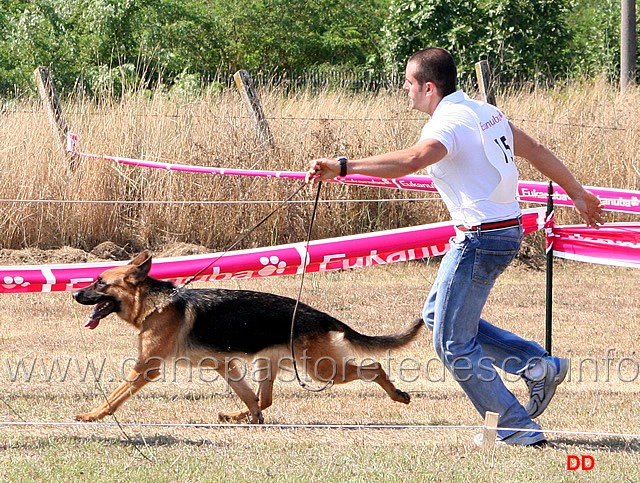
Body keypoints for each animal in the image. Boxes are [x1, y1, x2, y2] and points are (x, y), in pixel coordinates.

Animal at [72, 251, 422, 426]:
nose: (75, 294)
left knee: (374, 367)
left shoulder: (146, 368)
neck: (156, 304)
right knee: (264, 398)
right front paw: (249, 416)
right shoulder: (225, 366)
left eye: (100, 283)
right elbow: (248, 396)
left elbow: (114, 396)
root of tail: (318, 314)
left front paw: (92, 415)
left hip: (321, 370)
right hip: (270, 364)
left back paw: (397, 395)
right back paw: (238, 416)